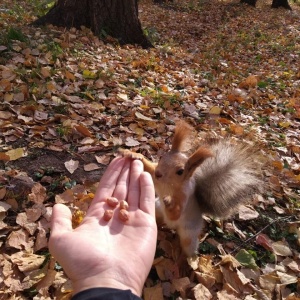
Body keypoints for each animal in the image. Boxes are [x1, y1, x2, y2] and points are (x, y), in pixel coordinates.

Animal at [120, 120, 264, 256]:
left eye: (180, 171)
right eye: (161, 157)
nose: (159, 173)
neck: (168, 185)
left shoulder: (184, 197)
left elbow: (175, 213)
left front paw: (168, 200)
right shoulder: (156, 178)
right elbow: (149, 169)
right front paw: (133, 154)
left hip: (189, 234)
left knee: (187, 246)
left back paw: (186, 260)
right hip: (157, 208)